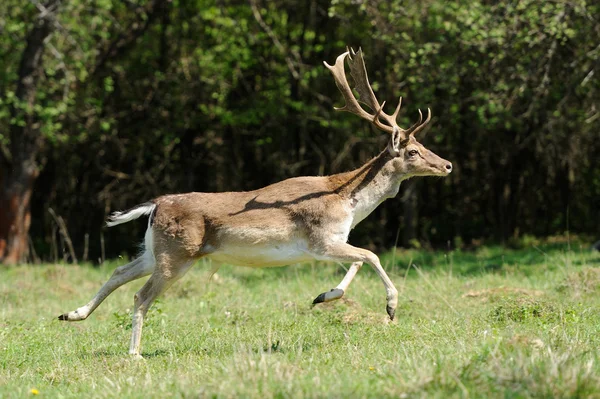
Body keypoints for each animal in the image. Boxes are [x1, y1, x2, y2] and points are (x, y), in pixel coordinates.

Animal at [58, 48, 452, 358]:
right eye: (413, 152)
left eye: (424, 147)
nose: (447, 164)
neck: (347, 202)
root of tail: (155, 205)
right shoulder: (320, 239)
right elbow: (372, 254)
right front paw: (391, 308)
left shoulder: (332, 242)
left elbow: (358, 260)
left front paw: (323, 296)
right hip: (177, 254)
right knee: (140, 295)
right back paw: (134, 354)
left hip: (156, 251)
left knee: (118, 271)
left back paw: (71, 314)